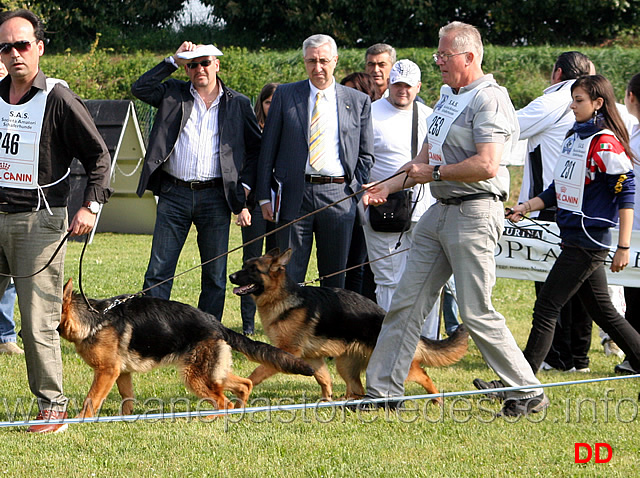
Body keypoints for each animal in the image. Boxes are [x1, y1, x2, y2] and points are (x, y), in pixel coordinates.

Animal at [58, 278, 314, 416]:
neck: (94, 319)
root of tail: (216, 324)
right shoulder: (121, 373)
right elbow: (127, 398)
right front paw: (124, 420)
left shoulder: (107, 372)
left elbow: (91, 399)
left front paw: (80, 420)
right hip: (212, 372)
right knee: (244, 384)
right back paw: (241, 409)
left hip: (195, 377)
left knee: (224, 402)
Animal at [228, 248, 468, 402]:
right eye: (243, 266)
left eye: (252, 270)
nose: (230, 276)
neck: (282, 297)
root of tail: (386, 316)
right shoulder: (312, 358)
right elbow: (324, 379)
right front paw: (326, 400)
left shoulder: (286, 352)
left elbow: (257, 372)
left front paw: (242, 389)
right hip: (344, 365)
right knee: (357, 388)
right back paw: (349, 402)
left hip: (396, 368)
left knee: (423, 374)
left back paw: (437, 399)